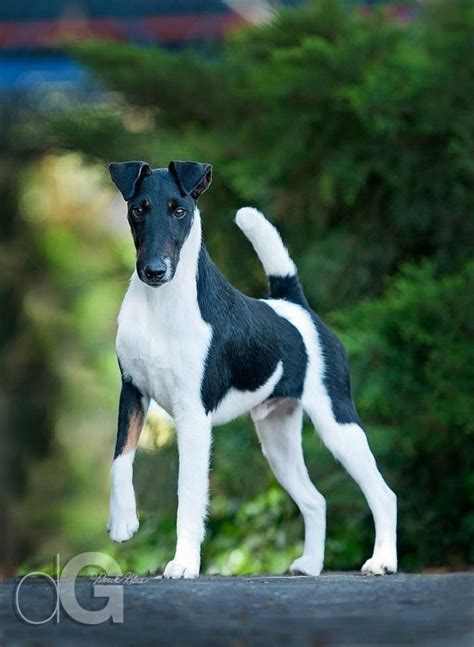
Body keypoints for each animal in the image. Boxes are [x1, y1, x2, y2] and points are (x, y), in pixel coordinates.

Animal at [106, 159, 396, 580]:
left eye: (180, 210)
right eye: (138, 209)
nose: (154, 271)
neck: (162, 306)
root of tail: (297, 307)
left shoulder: (193, 417)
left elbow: (188, 495)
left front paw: (184, 563)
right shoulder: (133, 391)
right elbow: (120, 458)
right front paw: (123, 522)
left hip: (338, 424)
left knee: (383, 494)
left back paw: (383, 560)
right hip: (278, 440)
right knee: (316, 500)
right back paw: (310, 564)